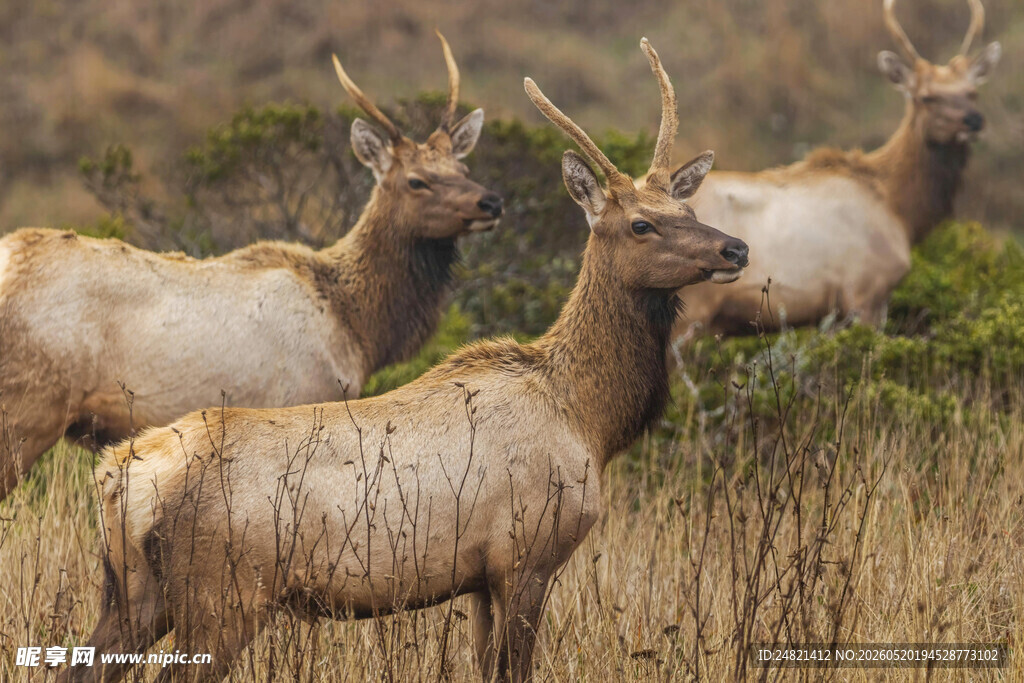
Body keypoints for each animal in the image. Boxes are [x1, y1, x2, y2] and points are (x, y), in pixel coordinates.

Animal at [0, 32, 503, 501]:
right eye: (417, 181)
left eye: (462, 166)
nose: (491, 201)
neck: (357, 326)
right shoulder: (304, 397)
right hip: (27, 409)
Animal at [59, 39, 747, 683]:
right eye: (640, 225)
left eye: (687, 209)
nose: (735, 248)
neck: (590, 419)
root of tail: (119, 477)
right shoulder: (525, 555)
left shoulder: (478, 579)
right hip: (222, 595)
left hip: (134, 596)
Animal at [676, 0, 1001, 338]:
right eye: (926, 97)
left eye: (973, 92)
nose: (974, 120)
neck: (901, 212)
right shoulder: (865, 288)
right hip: (693, 308)